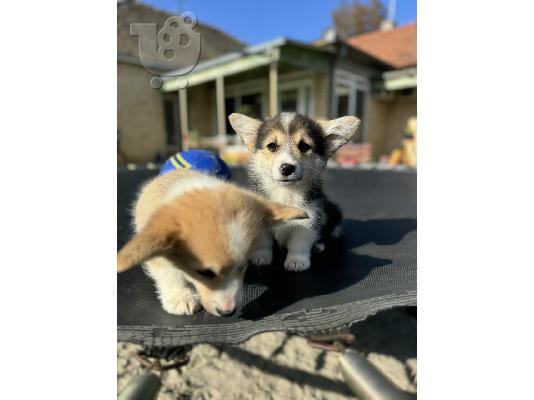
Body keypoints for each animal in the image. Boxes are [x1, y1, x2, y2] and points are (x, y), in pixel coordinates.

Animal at [229, 112, 360, 274]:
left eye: (304, 146)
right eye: (272, 146)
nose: (286, 168)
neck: (286, 192)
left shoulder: (309, 219)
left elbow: (299, 243)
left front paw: (297, 262)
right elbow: (264, 242)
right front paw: (260, 258)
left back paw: (318, 246)